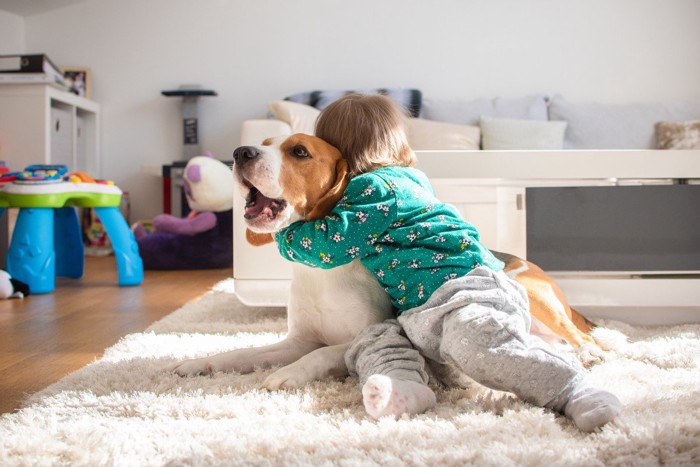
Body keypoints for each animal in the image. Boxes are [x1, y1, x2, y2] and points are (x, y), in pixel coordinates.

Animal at [172, 134, 604, 388]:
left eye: (299, 152)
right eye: (262, 143)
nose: (239, 153)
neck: (320, 274)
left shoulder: (368, 335)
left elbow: (321, 354)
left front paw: (287, 374)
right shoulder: (297, 340)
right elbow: (245, 353)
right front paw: (203, 364)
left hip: (537, 297)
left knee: (581, 335)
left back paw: (591, 353)